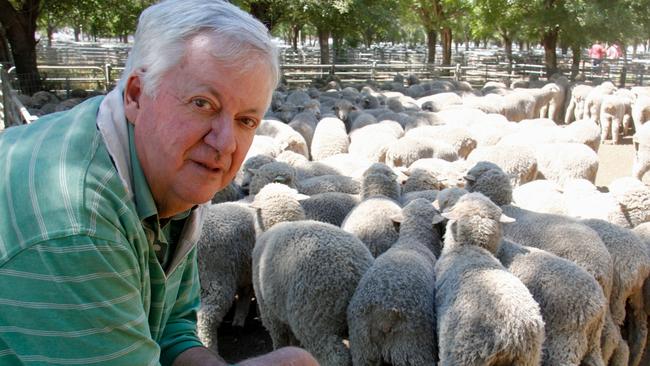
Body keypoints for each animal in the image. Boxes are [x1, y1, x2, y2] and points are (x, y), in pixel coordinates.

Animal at [251, 219, 372, 364]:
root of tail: (352, 271)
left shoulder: (269, 312)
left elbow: (279, 338)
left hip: (314, 323)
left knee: (336, 357)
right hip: (358, 327)